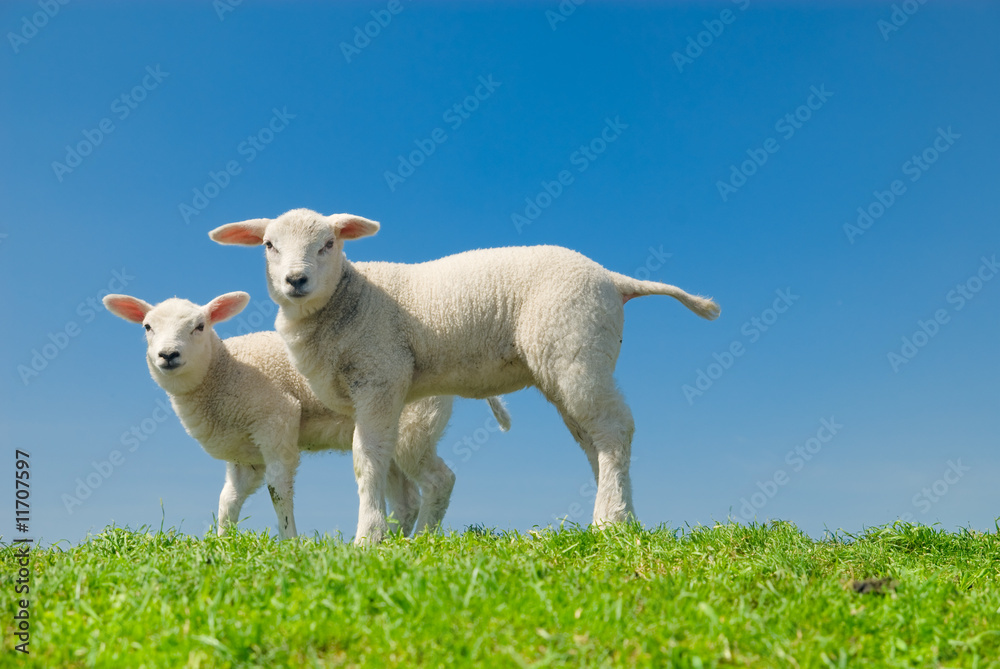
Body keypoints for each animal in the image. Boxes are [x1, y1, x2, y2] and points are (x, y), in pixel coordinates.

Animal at [103, 291, 511, 539]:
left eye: (200, 326)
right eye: (147, 327)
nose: (168, 355)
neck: (224, 371)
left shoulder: (276, 419)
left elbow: (278, 489)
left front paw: (290, 541)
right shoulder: (244, 454)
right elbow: (227, 500)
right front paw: (222, 543)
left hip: (415, 426)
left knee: (440, 481)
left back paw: (419, 540)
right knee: (405, 498)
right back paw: (390, 541)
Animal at [210, 208, 720, 544]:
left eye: (329, 244)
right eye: (269, 245)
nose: (296, 281)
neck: (349, 298)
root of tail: (615, 280)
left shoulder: (379, 375)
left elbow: (366, 459)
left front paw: (367, 539)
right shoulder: (365, 394)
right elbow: (381, 462)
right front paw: (389, 539)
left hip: (574, 348)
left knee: (615, 429)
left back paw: (608, 520)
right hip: (571, 362)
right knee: (595, 439)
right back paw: (622, 517)